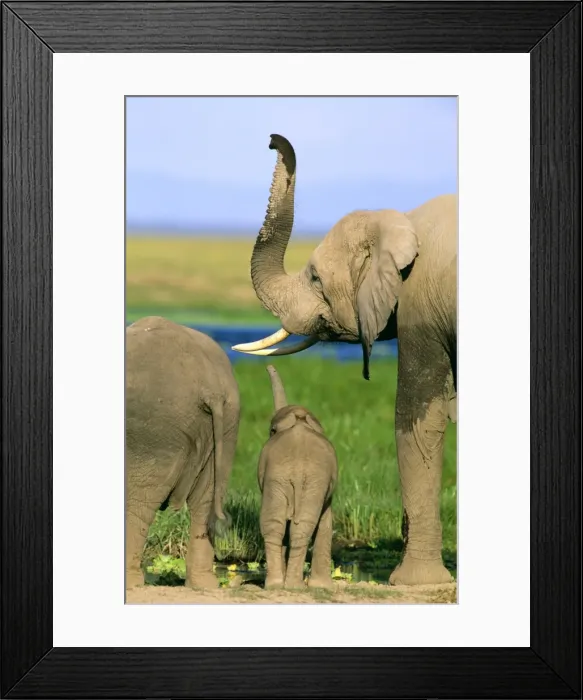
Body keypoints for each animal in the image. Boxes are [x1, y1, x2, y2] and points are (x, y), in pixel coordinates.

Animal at [126, 316, 240, 590]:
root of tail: (210, 386)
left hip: (155, 432)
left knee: (139, 503)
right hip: (229, 421)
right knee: (206, 499)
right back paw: (204, 585)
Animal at [258, 364, 338, 589]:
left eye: (271, 430)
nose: (267, 366)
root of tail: (297, 471)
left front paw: (320, 587)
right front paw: (321, 587)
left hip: (286, 479)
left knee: (276, 523)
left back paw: (281, 585)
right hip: (289, 480)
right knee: (292, 525)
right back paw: (288, 585)